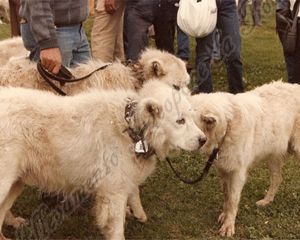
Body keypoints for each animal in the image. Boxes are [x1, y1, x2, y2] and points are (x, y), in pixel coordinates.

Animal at [0, 80, 205, 240]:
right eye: (180, 121)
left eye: (192, 118)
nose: (203, 140)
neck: (131, 129)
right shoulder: (113, 192)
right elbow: (117, 229)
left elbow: (134, 191)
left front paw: (138, 211)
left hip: (15, 183)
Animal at [191, 81, 300, 237]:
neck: (227, 127)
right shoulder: (224, 170)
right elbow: (226, 196)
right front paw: (225, 216)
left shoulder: (238, 173)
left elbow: (233, 200)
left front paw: (228, 226)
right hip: (273, 155)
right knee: (277, 178)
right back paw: (266, 201)